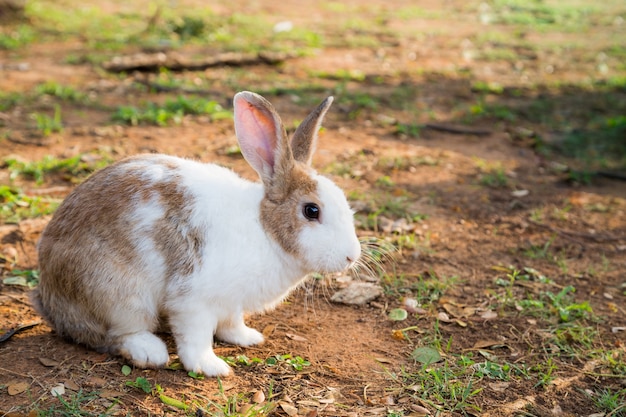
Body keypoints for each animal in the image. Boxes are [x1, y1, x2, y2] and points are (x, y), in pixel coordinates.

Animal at [30, 92, 360, 376]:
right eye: (311, 211)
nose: (351, 256)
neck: (265, 230)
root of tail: (50, 300)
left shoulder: (230, 303)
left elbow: (231, 322)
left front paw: (247, 337)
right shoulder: (193, 301)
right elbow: (196, 338)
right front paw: (211, 367)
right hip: (121, 296)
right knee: (115, 334)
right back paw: (150, 352)